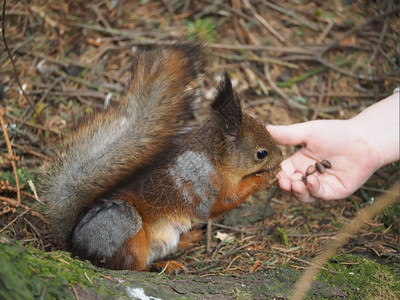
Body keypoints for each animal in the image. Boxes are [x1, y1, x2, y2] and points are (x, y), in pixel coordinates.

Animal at [39, 41, 282, 274]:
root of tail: (75, 245)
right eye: (261, 154)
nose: (280, 158)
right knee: (129, 266)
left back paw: (188, 239)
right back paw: (162, 265)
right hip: (122, 227)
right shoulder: (203, 183)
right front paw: (265, 178)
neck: (215, 158)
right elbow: (221, 204)